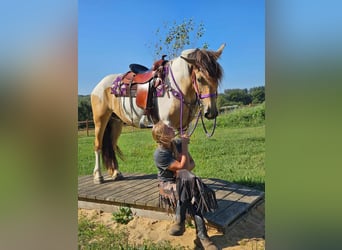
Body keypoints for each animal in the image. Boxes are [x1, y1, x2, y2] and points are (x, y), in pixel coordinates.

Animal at [90, 43, 224, 184]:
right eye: (199, 79)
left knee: (111, 145)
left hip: (116, 122)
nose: (211, 112)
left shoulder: (184, 126)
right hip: (100, 120)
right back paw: (98, 176)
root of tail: (99, 86)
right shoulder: (167, 124)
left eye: (217, 78)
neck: (176, 87)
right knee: (98, 145)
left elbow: (182, 148)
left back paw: (116, 173)